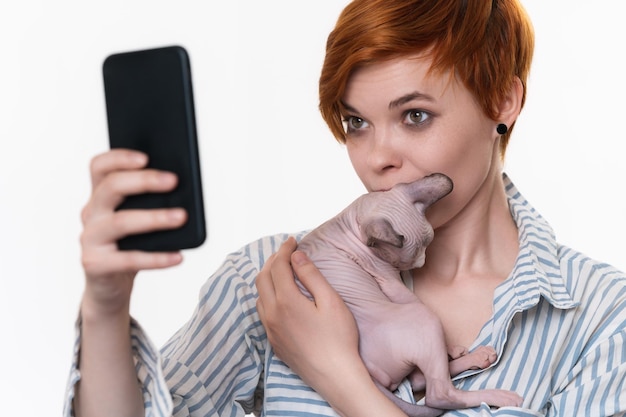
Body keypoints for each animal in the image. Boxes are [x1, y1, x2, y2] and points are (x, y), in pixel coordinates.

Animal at [294, 171, 520, 412]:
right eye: (406, 260)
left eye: (427, 244)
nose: (422, 262)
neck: (347, 223)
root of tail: (367, 370)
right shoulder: (388, 279)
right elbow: (411, 298)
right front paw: (450, 347)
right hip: (425, 320)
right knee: (437, 394)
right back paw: (500, 395)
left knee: (420, 380)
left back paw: (477, 358)